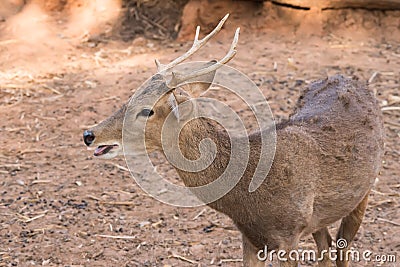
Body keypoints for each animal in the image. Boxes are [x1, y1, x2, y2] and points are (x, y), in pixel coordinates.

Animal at [82, 15, 384, 267]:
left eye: (147, 110)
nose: (89, 134)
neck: (247, 196)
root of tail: (354, 80)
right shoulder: (250, 236)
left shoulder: (289, 233)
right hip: (320, 216)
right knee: (326, 246)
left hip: (365, 191)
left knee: (341, 249)